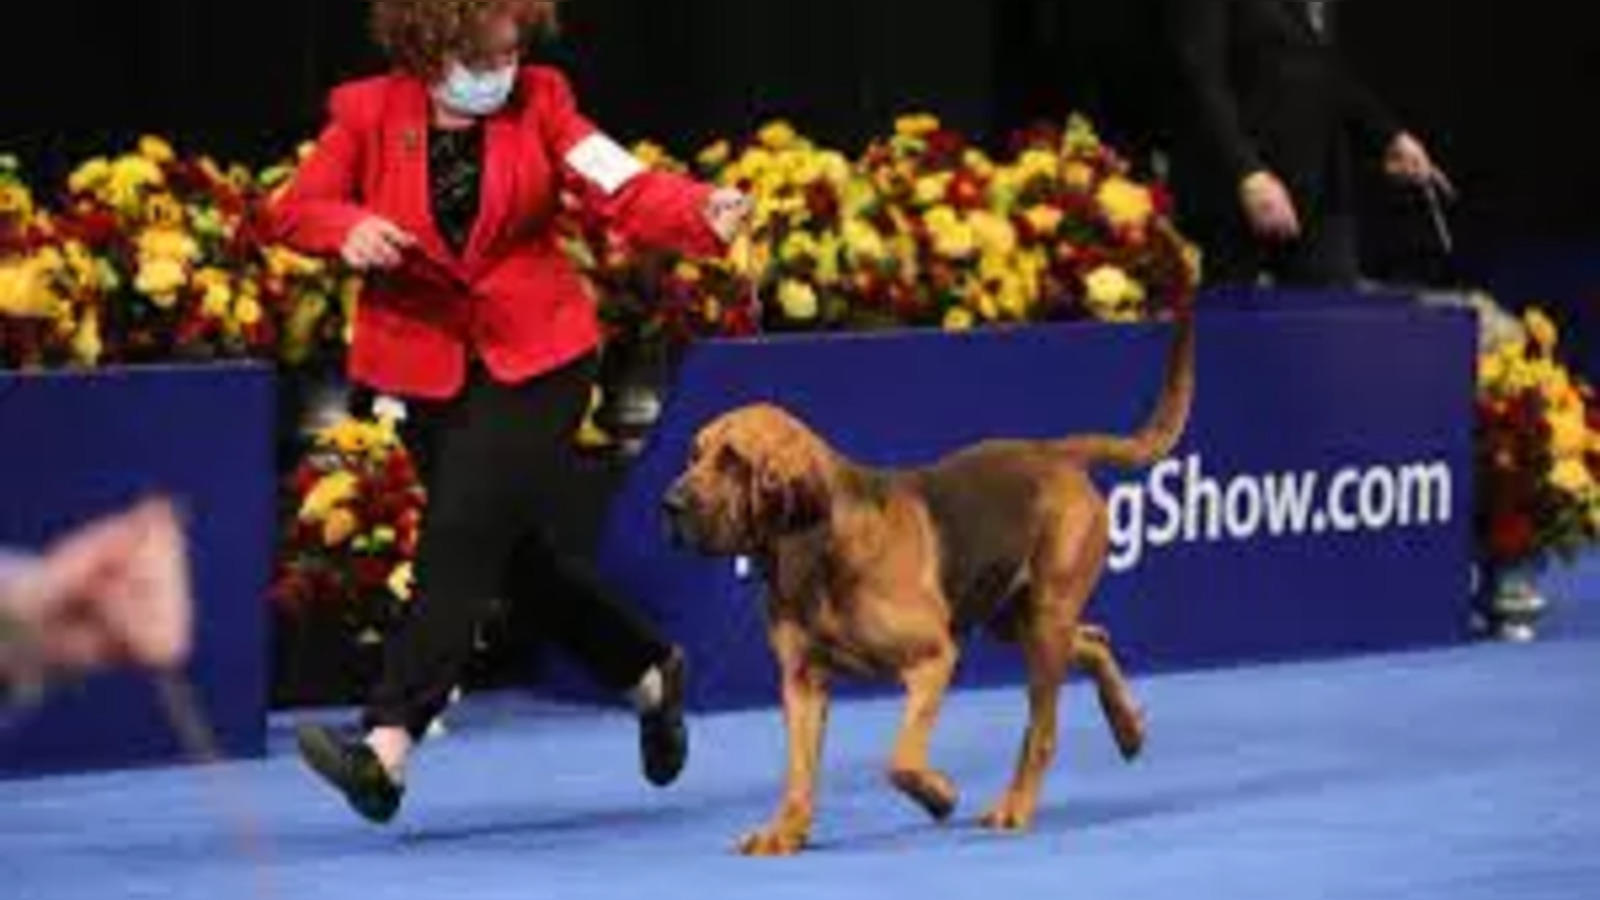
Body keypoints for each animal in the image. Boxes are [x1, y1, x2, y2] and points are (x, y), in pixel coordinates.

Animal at [656, 312, 1196, 851]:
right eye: (694, 454)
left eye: (733, 459)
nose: (670, 504)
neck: (817, 549)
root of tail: (1055, 452)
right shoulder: (802, 682)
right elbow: (800, 771)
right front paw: (785, 831)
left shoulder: (932, 658)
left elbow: (901, 761)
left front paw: (939, 795)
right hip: (1014, 617)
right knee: (1094, 640)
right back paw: (1127, 729)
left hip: (1044, 620)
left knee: (1041, 730)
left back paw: (1016, 805)